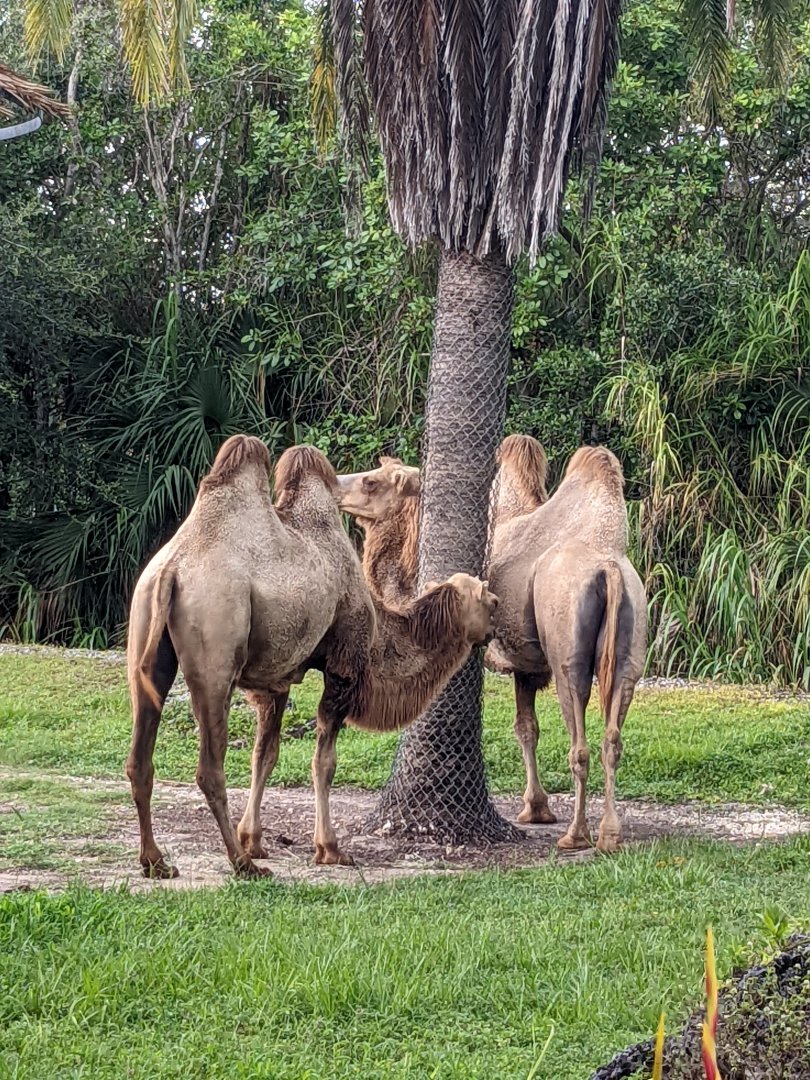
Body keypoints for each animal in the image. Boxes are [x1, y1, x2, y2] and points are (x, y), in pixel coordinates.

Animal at [126, 435, 497, 878]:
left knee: (139, 756)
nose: (495, 625)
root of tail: (172, 571)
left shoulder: (276, 679)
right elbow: (324, 762)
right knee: (209, 768)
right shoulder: (344, 667)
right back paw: (241, 865)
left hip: (145, 640)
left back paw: (155, 861)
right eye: (488, 601)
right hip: (216, 648)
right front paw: (329, 848)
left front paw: (255, 840)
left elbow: (264, 756)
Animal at [336, 437, 647, 852]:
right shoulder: (526, 667)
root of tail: (609, 569)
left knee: (579, 739)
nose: (335, 485)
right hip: (632, 646)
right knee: (613, 738)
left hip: (569, 655)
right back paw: (610, 835)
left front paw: (536, 809)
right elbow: (527, 728)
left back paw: (575, 835)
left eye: (372, 481)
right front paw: (536, 808)